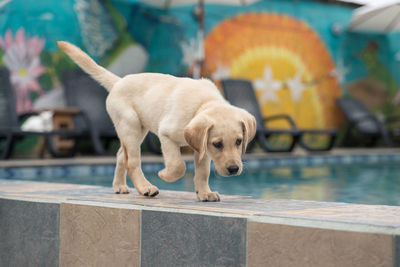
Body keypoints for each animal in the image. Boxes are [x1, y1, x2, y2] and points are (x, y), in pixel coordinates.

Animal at [57, 41, 255, 201]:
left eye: (239, 141)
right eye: (218, 144)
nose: (234, 169)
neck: (203, 102)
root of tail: (119, 82)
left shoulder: (202, 147)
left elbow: (203, 172)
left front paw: (205, 193)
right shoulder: (166, 135)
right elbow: (178, 165)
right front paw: (165, 174)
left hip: (137, 129)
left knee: (121, 155)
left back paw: (119, 186)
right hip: (130, 125)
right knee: (132, 162)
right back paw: (145, 188)